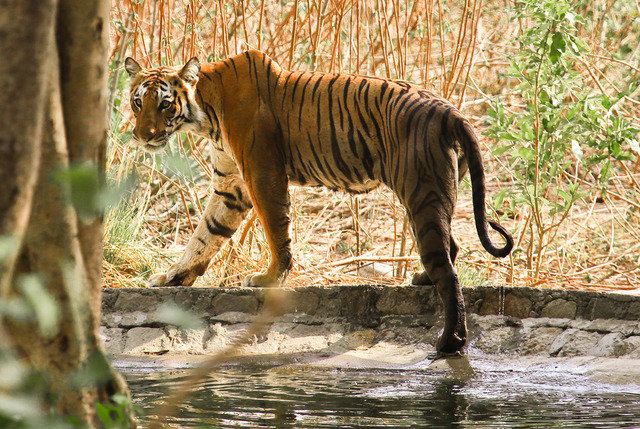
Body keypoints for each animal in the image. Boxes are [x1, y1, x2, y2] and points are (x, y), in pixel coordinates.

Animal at [124, 48, 516, 352]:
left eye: (165, 104)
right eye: (138, 102)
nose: (142, 136)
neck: (205, 112)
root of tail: (450, 110)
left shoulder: (262, 174)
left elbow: (275, 228)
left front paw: (270, 278)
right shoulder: (230, 184)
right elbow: (206, 234)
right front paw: (172, 278)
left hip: (422, 192)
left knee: (448, 273)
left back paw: (449, 344)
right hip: (429, 195)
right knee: (450, 248)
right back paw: (422, 281)